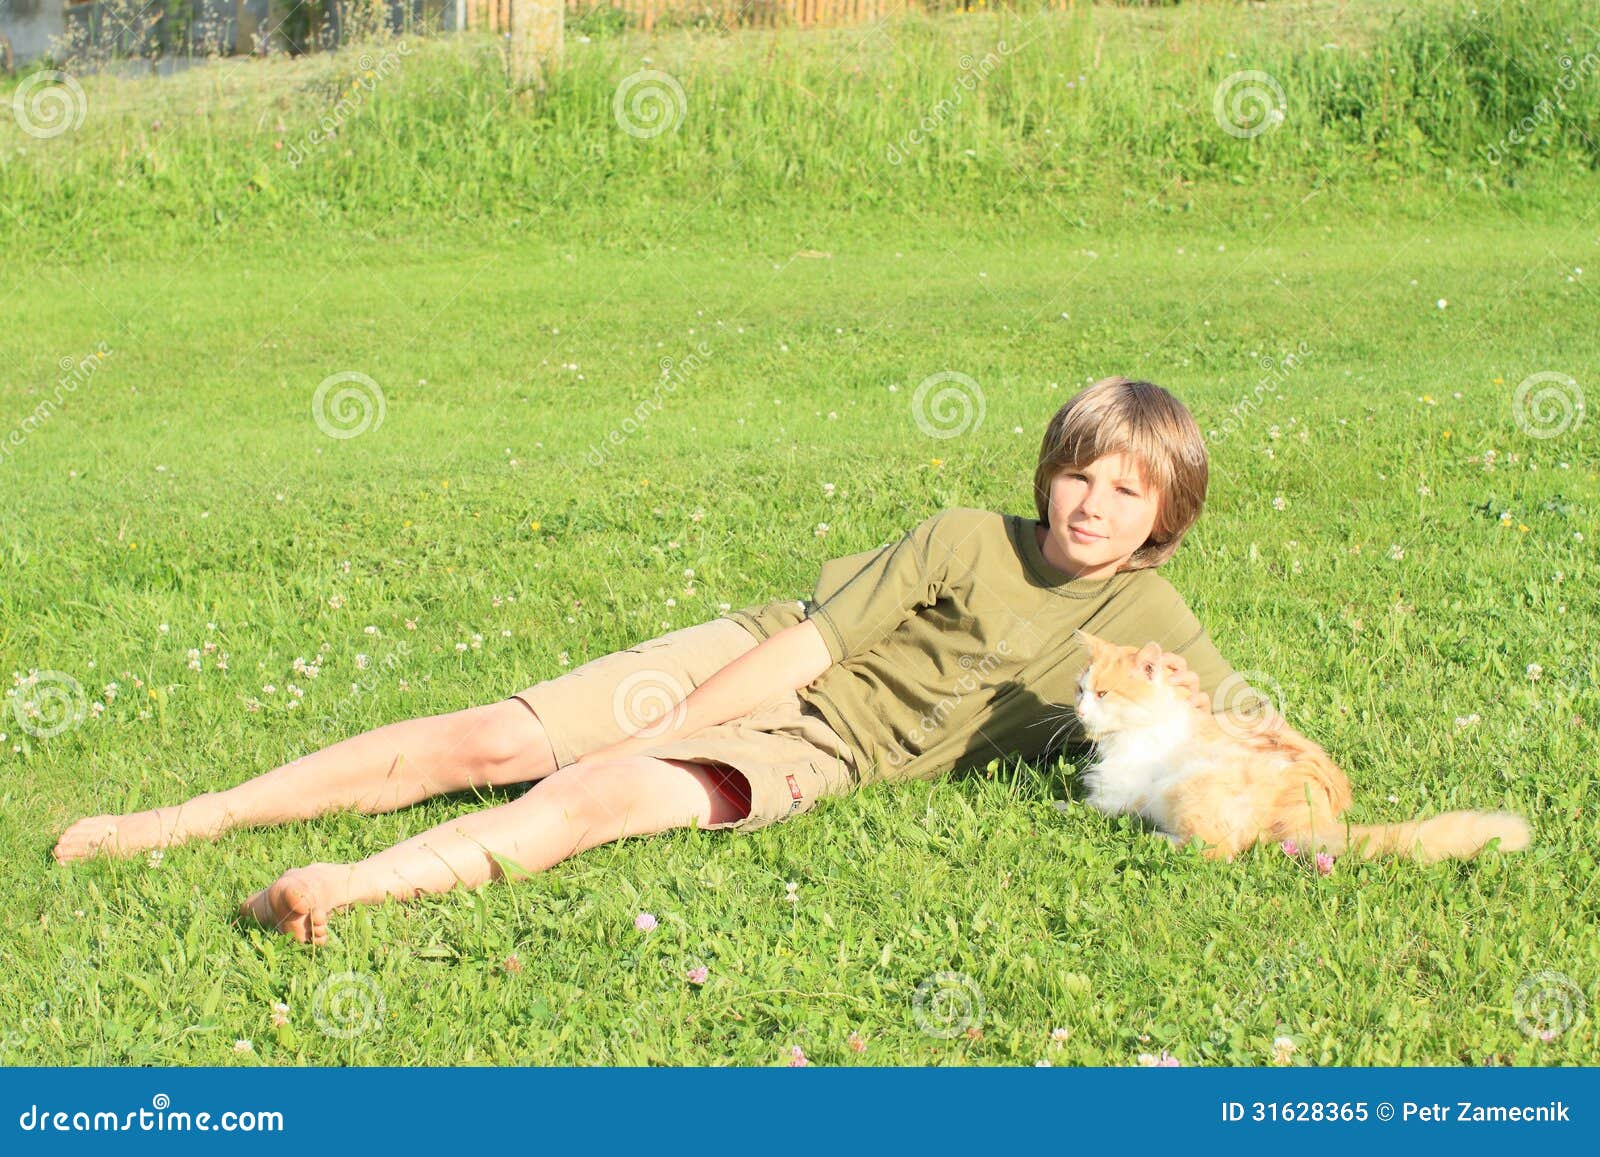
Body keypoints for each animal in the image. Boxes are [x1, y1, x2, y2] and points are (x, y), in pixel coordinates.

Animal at [1068, 633, 1529, 857]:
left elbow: (1085, 805)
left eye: (1104, 694)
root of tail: (1313, 815)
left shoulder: (1118, 791)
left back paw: (1152, 838)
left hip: (1186, 788)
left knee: (1217, 850)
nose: (1080, 709)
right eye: (1081, 689)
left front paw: (1062, 808)